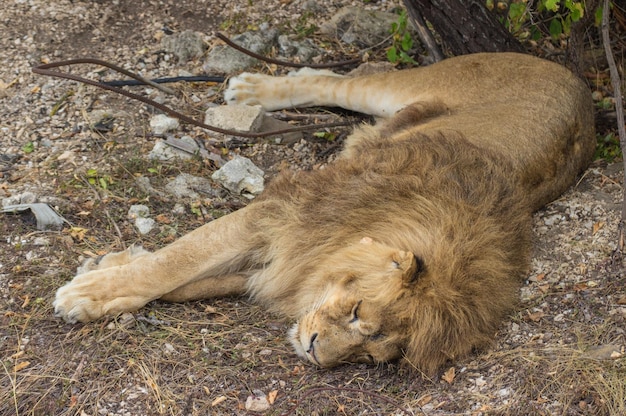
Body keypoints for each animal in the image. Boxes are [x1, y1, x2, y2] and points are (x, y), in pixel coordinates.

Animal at [52, 52, 588, 374]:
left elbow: (192, 280)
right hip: (416, 82)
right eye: (356, 312)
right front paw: (89, 290)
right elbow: (178, 260)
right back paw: (252, 90)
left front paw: (104, 275)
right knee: (339, 80)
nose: (314, 354)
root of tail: (576, 80)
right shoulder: (281, 212)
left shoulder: (285, 260)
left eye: (370, 354)